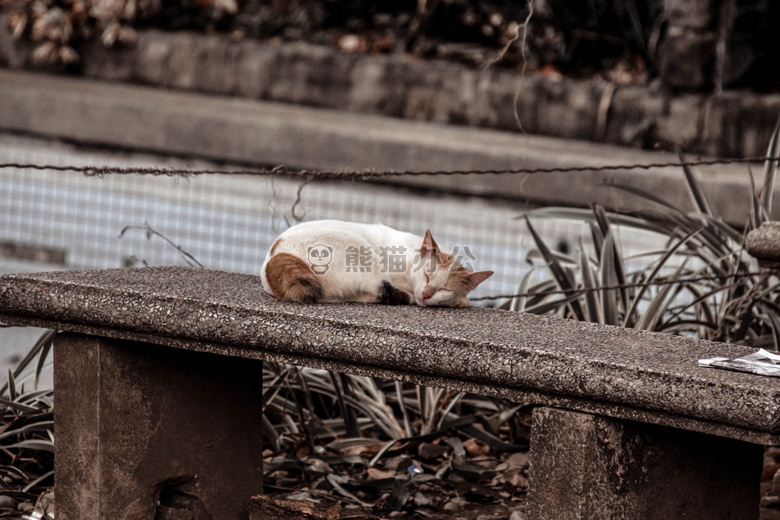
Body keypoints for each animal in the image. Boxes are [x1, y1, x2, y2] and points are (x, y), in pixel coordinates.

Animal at [262, 220, 494, 308]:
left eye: (444, 289)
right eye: (426, 275)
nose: (426, 294)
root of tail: (274, 258)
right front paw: (460, 301)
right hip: (358, 251)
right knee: (382, 289)